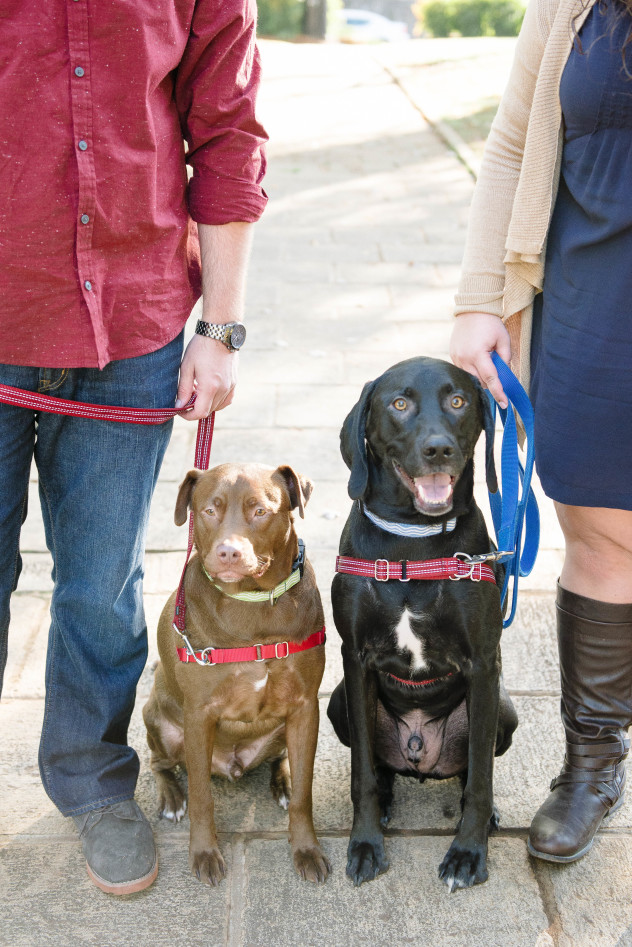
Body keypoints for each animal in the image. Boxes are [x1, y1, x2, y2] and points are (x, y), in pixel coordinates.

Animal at [143, 466, 330, 888]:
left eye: (260, 510)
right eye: (209, 510)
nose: (229, 552)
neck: (253, 602)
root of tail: (233, 764)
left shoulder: (306, 707)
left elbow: (305, 795)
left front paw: (306, 848)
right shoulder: (199, 716)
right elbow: (202, 797)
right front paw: (204, 852)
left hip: (284, 729)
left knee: (283, 759)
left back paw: (283, 779)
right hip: (157, 719)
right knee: (159, 763)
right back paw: (171, 797)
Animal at [328, 360, 516, 892]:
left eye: (458, 401)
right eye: (399, 403)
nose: (438, 449)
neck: (412, 544)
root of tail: (419, 752)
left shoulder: (483, 665)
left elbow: (480, 780)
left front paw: (469, 853)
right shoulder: (355, 660)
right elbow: (362, 774)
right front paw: (365, 843)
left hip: (503, 709)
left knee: (473, 769)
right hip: (337, 703)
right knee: (379, 767)